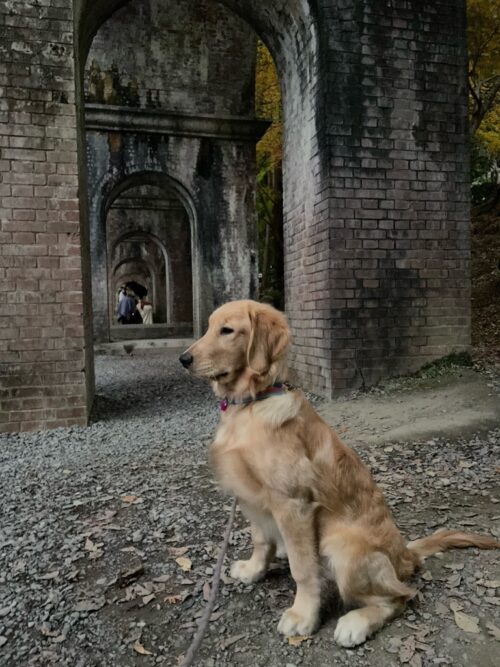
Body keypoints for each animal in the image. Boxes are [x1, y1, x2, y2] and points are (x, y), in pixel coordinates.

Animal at [179, 302, 496, 648]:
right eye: (209, 327)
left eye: (227, 330)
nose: (184, 359)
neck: (250, 404)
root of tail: (405, 555)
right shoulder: (251, 497)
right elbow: (261, 539)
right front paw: (253, 570)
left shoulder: (293, 504)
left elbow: (302, 569)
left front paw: (302, 616)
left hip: (341, 547)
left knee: (401, 596)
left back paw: (356, 623)